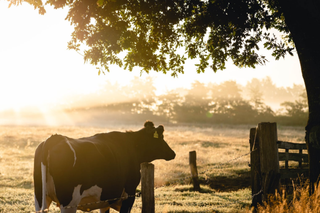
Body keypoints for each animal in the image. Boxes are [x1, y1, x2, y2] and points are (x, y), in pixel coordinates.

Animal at [33, 121, 176, 213]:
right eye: (161, 137)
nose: (173, 153)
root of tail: (55, 138)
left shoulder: (106, 198)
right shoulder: (129, 194)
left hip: (40, 199)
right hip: (69, 203)